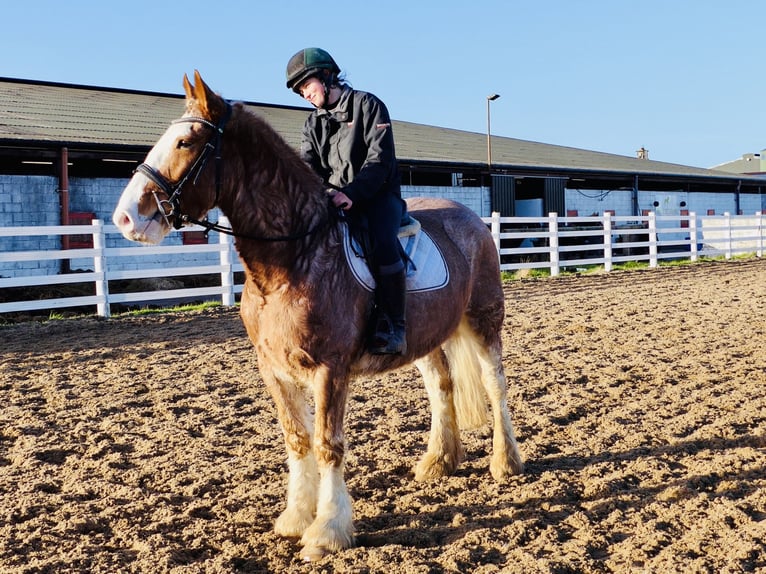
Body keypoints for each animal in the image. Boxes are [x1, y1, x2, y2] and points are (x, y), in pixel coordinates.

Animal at [112, 71, 523, 561]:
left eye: (186, 142)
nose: (126, 218)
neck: (293, 258)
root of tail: (472, 219)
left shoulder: (330, 370)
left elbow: (328, 444)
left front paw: (327, 530)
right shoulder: (273, 369)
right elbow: (298, 438)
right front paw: (295, 518)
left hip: (484, 320)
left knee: (494, 385)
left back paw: (506, 462)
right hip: (425, 336)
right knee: (441, 387)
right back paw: (438, 461)